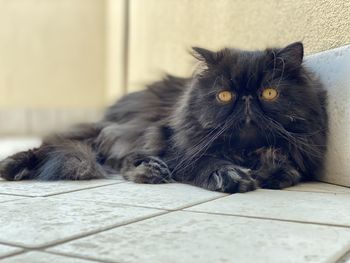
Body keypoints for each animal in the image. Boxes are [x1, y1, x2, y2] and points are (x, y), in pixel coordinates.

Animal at [0, 41, 328, 194]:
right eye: (224, 95)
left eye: (269, 93)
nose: (246, 100)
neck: (244, 151)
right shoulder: (178, 145)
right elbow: (207, 161)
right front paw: (231, 176)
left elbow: (287, 169)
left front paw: (270, 168)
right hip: (132, 131)